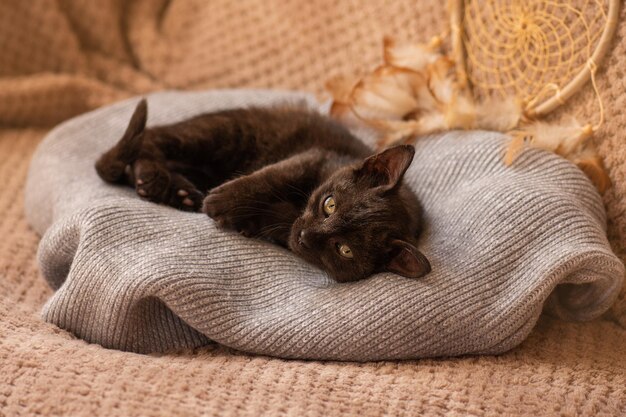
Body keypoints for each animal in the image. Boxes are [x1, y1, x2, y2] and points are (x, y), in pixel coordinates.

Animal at [96, 99, 428, 282]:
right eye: (330, 204)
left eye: (343, 249)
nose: (307, 235)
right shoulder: (315, 156)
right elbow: (269, 177)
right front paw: (221, 202)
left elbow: (278, 221)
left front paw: (246, 221)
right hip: (221, 134)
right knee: (148, 141)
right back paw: (154, 180)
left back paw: (178, 192)